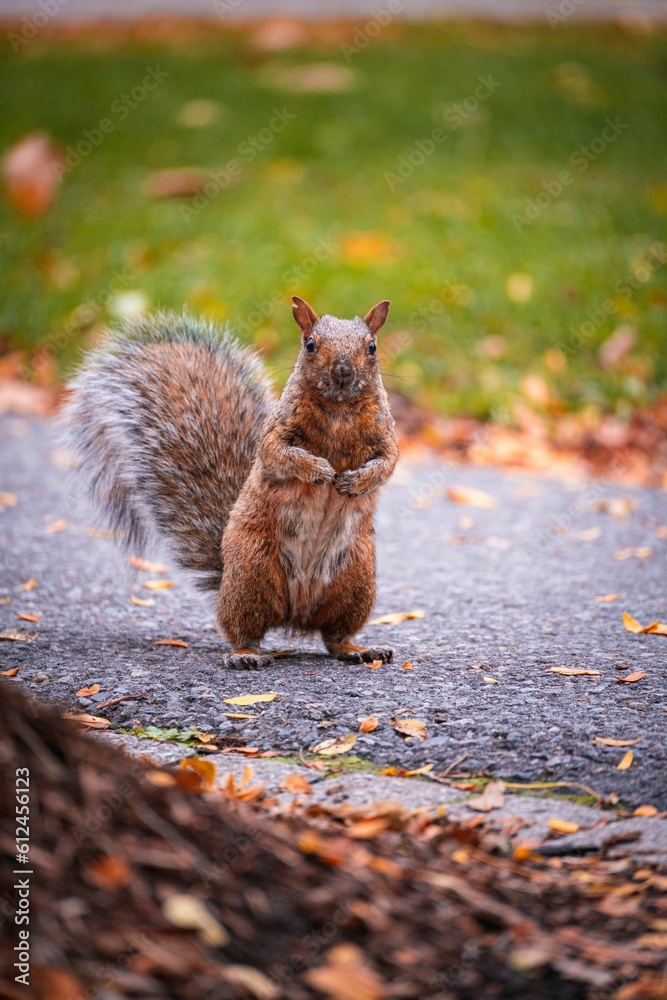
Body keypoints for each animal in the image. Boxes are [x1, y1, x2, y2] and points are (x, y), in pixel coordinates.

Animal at [62, 296, 400, 672]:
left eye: (371, 347)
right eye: (310, 344)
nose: (342, 373)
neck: (339, 408)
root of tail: (296, 616)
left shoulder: (386, 435)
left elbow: (388, 462)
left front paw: (355, 481)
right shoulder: (276, 433)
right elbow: (278, 453)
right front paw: (319, 469)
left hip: (355, 580)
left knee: (335, 636)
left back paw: (360, 650)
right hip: (252, 574)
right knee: (243, 630)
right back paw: (245, 655)